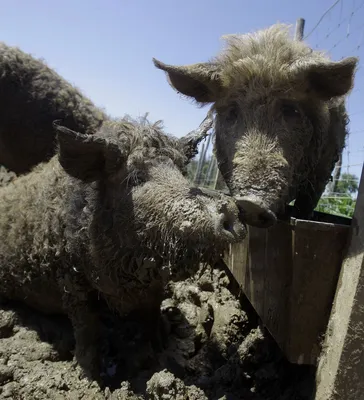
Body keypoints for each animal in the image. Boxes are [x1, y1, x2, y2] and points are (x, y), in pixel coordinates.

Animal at [0, 115, 247, 382]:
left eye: (182, 172)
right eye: (136, 177)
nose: (229, 209)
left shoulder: (155, 284)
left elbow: (152, 312)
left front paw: (160, 345)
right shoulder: (69, 278)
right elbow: (86, 327)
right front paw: (92, 377)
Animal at [153, 23, 358, 227]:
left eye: (292, 111)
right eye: (232, 112)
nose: (251, 204)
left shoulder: (323, 170)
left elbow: (306, 205)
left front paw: (298, 217)